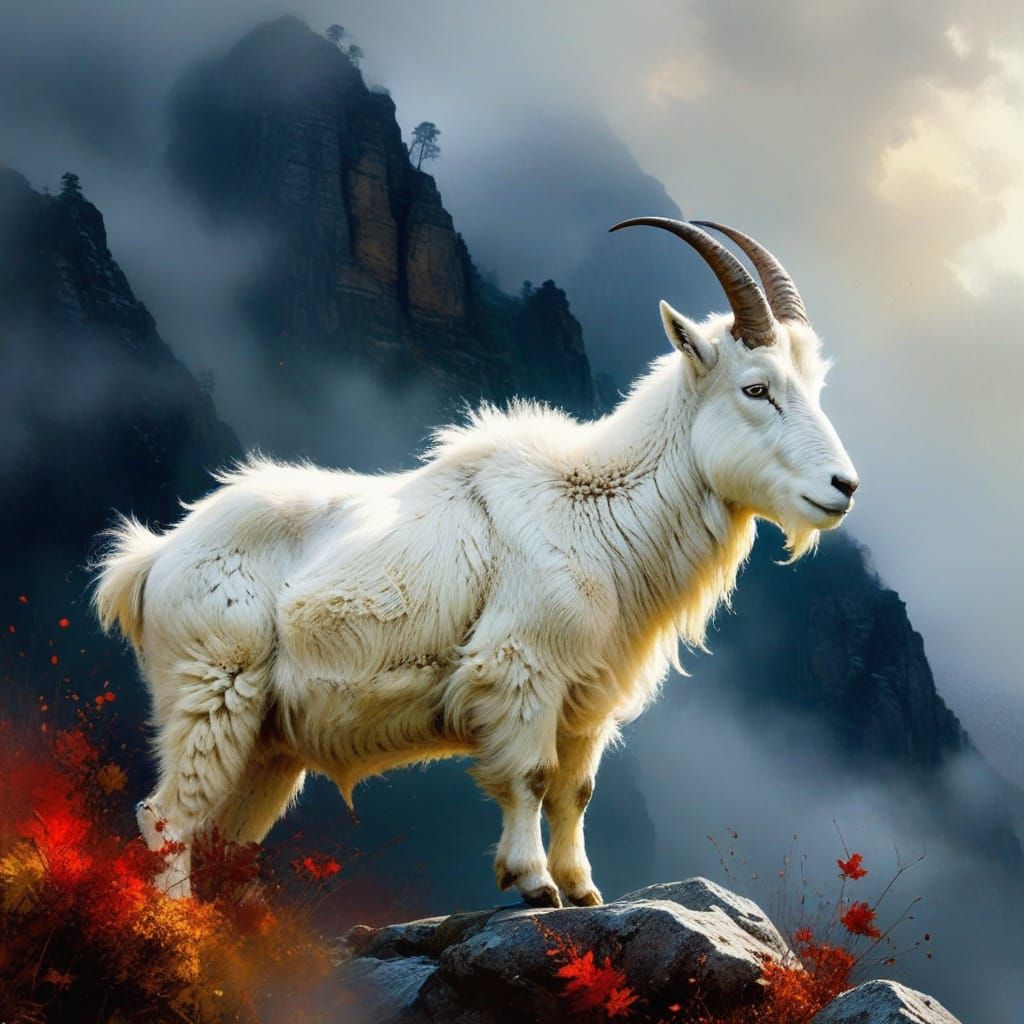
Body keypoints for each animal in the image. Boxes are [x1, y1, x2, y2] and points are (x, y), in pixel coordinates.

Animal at [94, 219, 858, 905]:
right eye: (756, 388)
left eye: (816, 384)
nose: (843, 488)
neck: (595, 504)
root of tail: (151, 561)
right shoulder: (521, 669)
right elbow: (531, 778)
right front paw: (534, 882)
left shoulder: (587, 696)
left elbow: (578, 789)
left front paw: (584, 888)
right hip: (210, 688)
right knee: (168, 817)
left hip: (269, 742)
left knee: (228, 839)